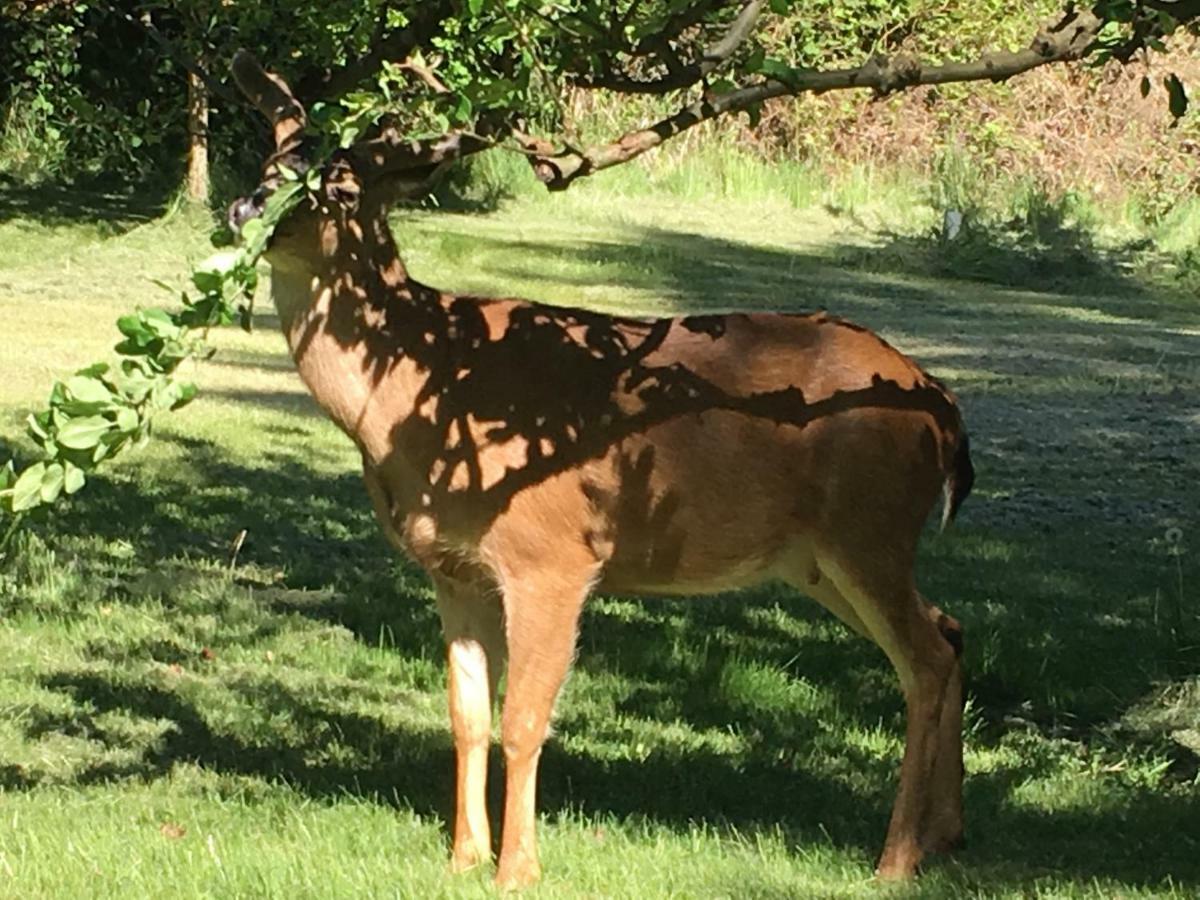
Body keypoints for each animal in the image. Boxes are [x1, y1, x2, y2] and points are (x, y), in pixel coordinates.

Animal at [231, 52, 974, 892]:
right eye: (268, 164)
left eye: (342, 188)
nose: (244, 209)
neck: (426, 385)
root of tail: (941, 406)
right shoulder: (454, 570)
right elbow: (466, 716)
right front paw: (462, 857)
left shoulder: (550, 553)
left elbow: (524, 719)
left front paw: (515, 869)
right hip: (820, 556)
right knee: (950, 633)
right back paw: (946, 834)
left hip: (866, 527)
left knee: (926, 660)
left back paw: (896, 859)